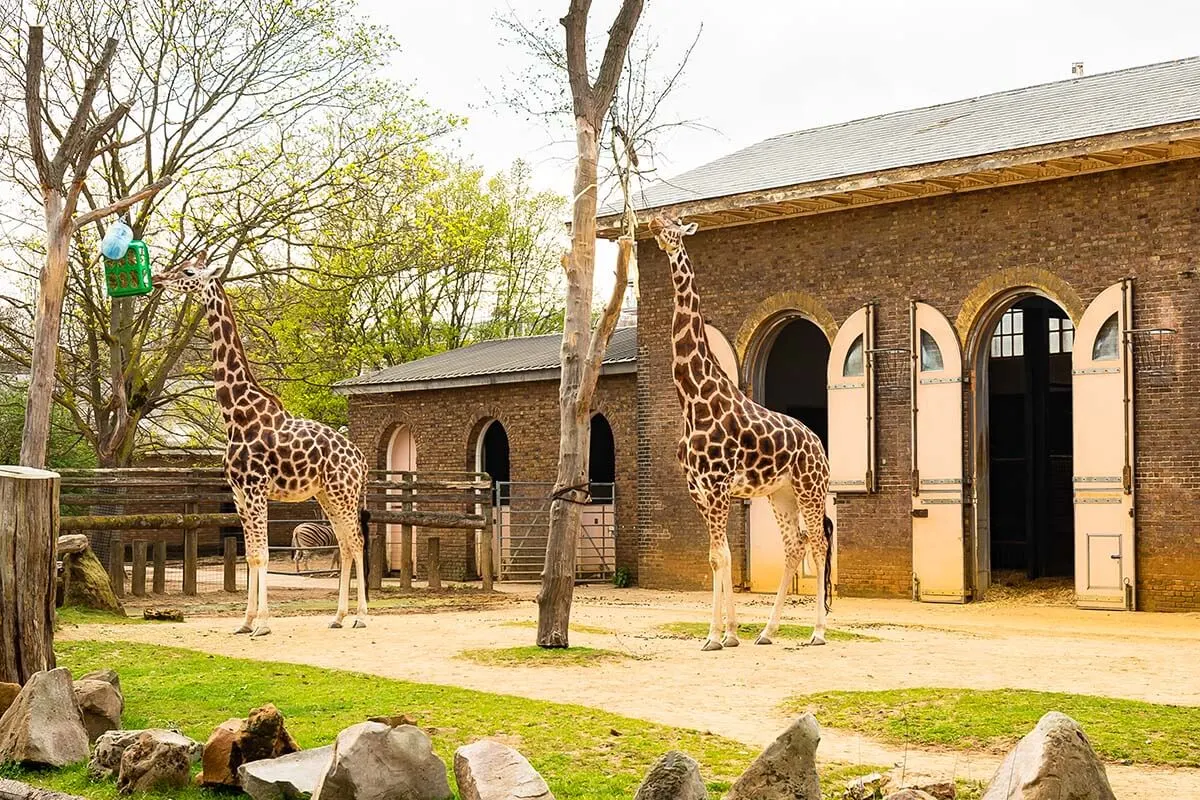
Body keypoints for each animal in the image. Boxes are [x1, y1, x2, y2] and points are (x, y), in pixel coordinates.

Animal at [157, 250, 369, 638]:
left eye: (189, 272)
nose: (160, 278)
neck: (236, 414)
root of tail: (360, 458)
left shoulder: (256, 489)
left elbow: (264, 555)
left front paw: (264, 624)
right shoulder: (239, 493)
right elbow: (251, 555)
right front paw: (245, 622)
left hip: (343, 493)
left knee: (356, 541)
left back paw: (361, 616)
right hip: (326, 495)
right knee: (346, 544)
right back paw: (337, 616)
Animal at [648, 214, 835, 652]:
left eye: (676, 224)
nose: (653, 222)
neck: (694, 399)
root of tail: (819, 443)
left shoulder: (717, 486)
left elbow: (721, 557)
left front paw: (716, 636)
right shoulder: (697, 489)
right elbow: (719, 556)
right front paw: (729, 633)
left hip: (810, 488)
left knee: (818, 544)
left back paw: (818, 632)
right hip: (779, 494)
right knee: (793, 546)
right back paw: (767, 631)